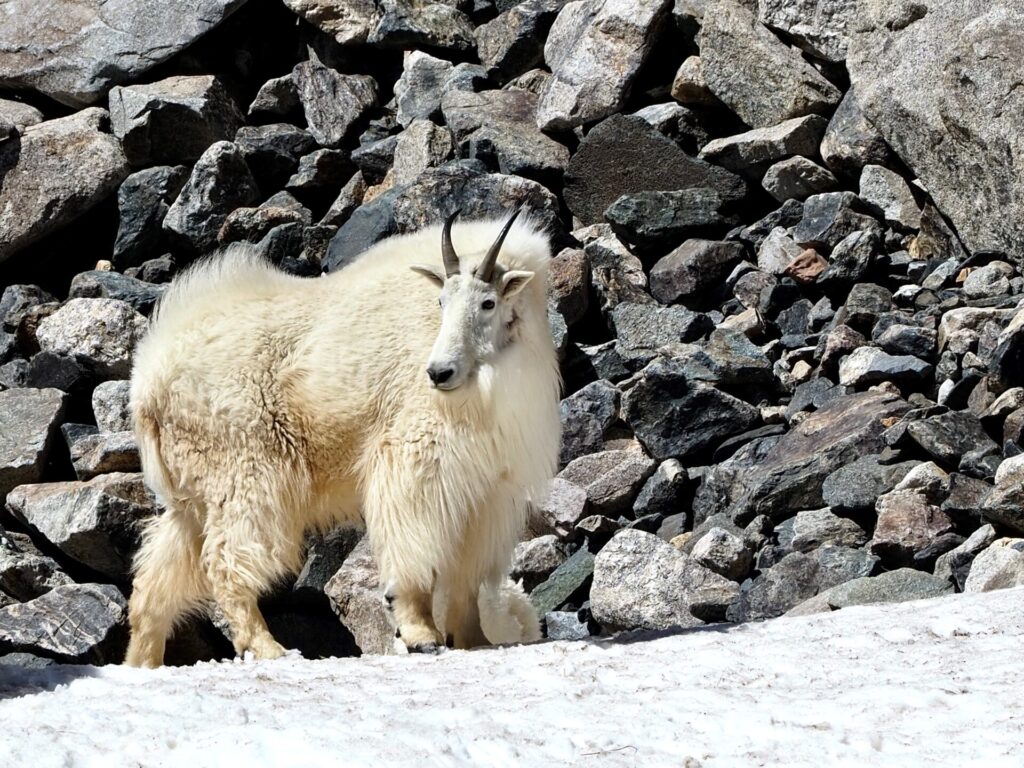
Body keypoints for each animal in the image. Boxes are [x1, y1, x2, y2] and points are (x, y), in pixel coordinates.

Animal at [124, 210, 560, 667]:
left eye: (488, 302)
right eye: (440, 302)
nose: (439, 373)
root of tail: (147, 382)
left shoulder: (488, 489)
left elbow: (468, 572)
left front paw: (475, 638)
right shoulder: (416, 460)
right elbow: (414, 545)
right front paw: (421, 634)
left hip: (194, 495)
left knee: (156, 580)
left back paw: (143, 660)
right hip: (244, 472)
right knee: (226, 559)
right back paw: (269, 648)